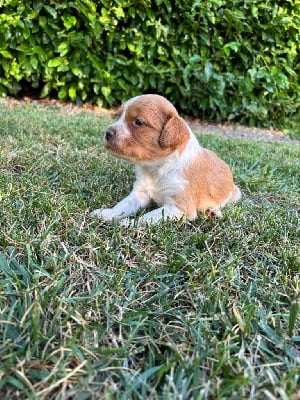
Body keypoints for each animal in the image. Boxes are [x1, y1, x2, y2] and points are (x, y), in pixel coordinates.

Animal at [91, 94, 241, 225]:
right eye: (119, 115)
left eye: (138, 122)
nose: (107, 133)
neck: (157, 168)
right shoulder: (140, 193)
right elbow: (123, 205)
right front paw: (107, 214)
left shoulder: (179, 207)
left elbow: (147, 217)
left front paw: (129, 223)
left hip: (235, 194)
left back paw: (213, 212)